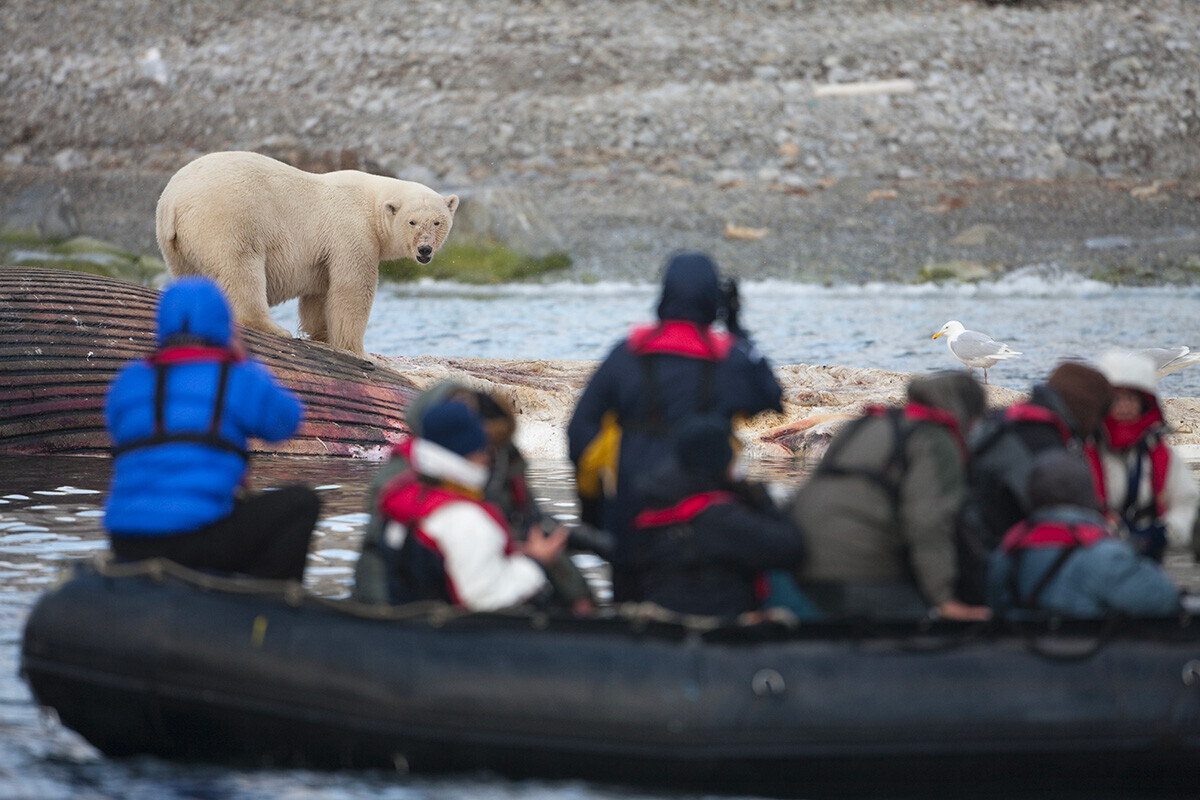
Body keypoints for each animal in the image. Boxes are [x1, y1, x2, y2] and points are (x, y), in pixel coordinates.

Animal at [157, 151, 456, 357]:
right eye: (412, 222)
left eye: (437, 222)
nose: (425, 249)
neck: (372, 201)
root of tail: (174, 200)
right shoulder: (351, 230)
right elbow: (352, 289)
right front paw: (358, 350)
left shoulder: (323, 253)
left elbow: (319, 294)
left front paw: (322, 337)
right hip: (228, 216)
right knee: (241, 268)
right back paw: (273, 327)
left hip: (177, 246)